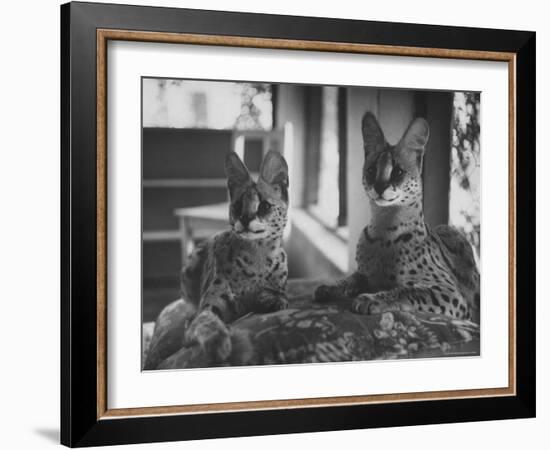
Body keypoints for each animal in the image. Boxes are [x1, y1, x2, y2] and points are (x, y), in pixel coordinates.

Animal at [316, 112, 480, 324]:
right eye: (371, 170)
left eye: (398, 171)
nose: (379, 187)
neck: (383, 227)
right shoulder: (364, 274)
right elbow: (350, 278)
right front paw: (332, 286)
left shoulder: (450, 293)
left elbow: (407, 290)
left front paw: (373, 298)